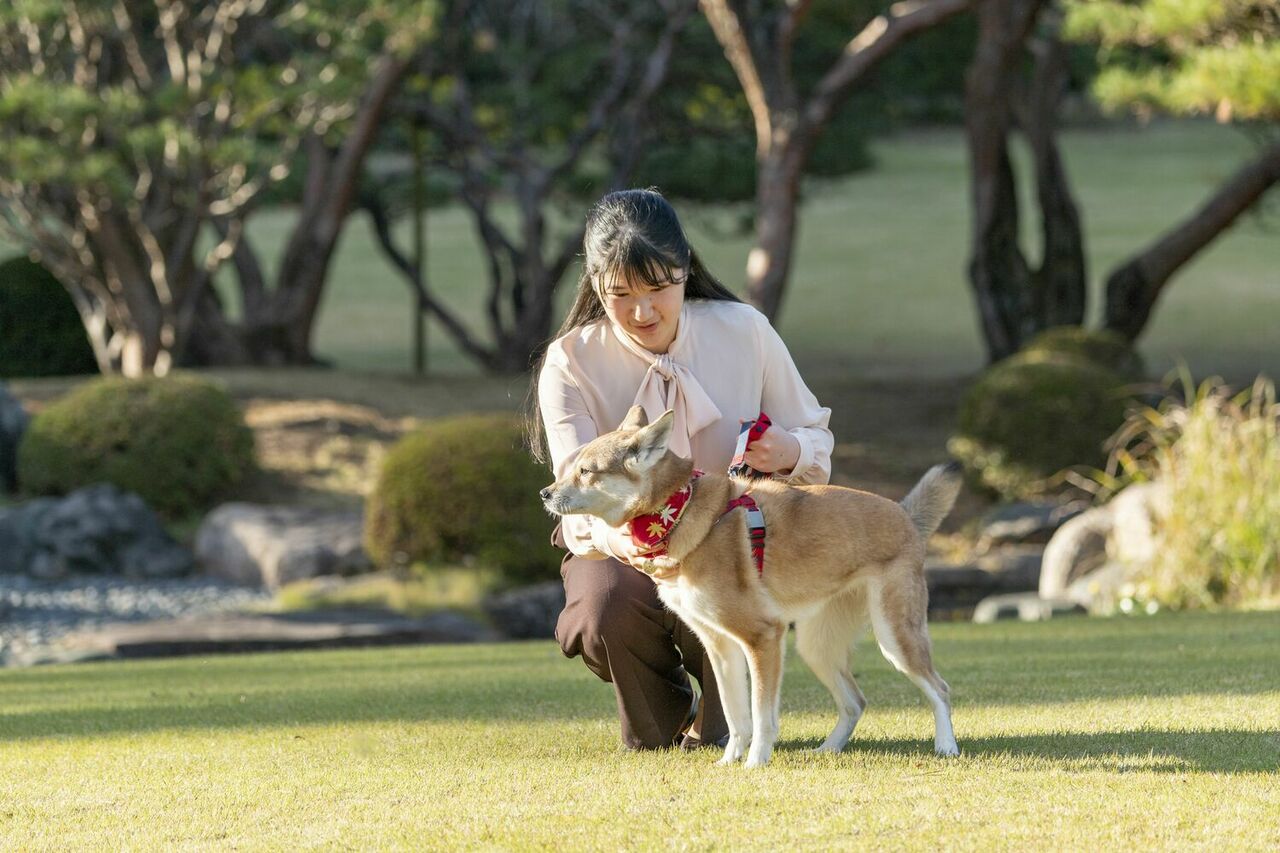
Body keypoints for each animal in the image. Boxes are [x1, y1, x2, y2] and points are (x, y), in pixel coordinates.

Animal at [540, 404, 962, 763]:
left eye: (587, 471)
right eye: (573, 466)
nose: (544, 493)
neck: (679, 510)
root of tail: (904, 515)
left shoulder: (763, 638)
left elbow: (761, 715)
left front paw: (756, 763)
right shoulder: (720, 645)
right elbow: (735, 714)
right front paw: (729, 762)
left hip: (894, 637)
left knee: (940, 690)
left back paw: (946, 746)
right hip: (816, 646)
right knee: (855, 702)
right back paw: (827, 749)